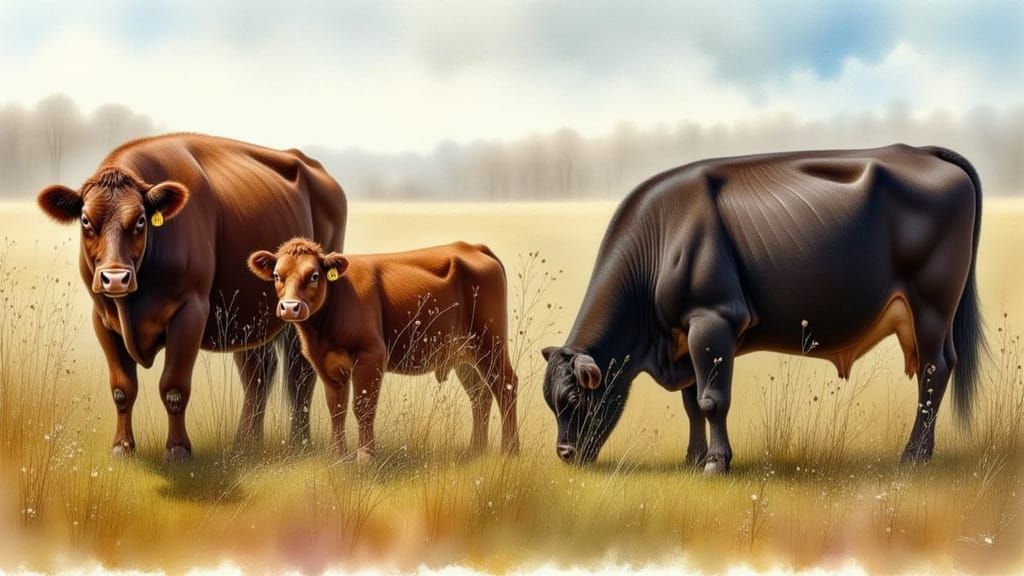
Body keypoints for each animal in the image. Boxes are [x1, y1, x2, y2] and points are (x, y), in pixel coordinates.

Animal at [36, 134, 347, 462]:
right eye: (85, 220)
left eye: (141, 220)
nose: (116, 277)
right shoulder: (103, 319)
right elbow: (122, 388)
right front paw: (122, 448)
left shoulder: (190, 312)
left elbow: (174, 386)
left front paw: (177, 450)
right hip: (247, 313)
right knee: (259, 371)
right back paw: (245, 443)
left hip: (301, 310)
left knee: (299, 371)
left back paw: (300, 442)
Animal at [246, 238, 519, 462]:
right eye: (277, 275)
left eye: (314, 275)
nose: (290, 307)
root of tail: (472, 247)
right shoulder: (325, 363)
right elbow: (337, 408)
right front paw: (338, 457)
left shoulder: (371, 356)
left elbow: (363, 406)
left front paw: (366, 458)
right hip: (464, 353)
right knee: (480, 394)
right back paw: (476, 450)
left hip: (489, 340)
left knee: (505, 385)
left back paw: (510, 451)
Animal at [541, 144, 984, 474]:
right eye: (551, 401)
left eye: (575, 398)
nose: (564, 454)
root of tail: (919, 151)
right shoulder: (684, 339)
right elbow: (691, 403)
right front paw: (694, 458)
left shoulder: (713, 320)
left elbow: (712, 400)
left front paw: (716, 463)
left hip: (932, 305)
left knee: (934, 370)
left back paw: (914, 455)